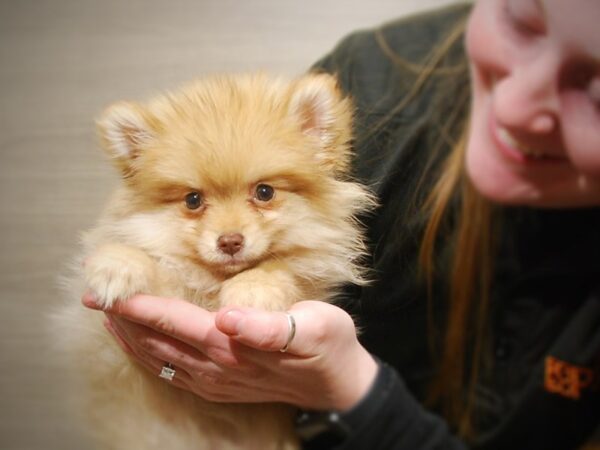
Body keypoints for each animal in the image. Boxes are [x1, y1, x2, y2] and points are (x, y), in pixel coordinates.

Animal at [57, 74, 376, 450]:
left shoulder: (311, 276)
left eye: (264, 192)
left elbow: (279, 266)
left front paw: (253, 288)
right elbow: (153, 264)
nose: (230, 241)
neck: (215, 282)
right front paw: (119, 264)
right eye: (193, 200)